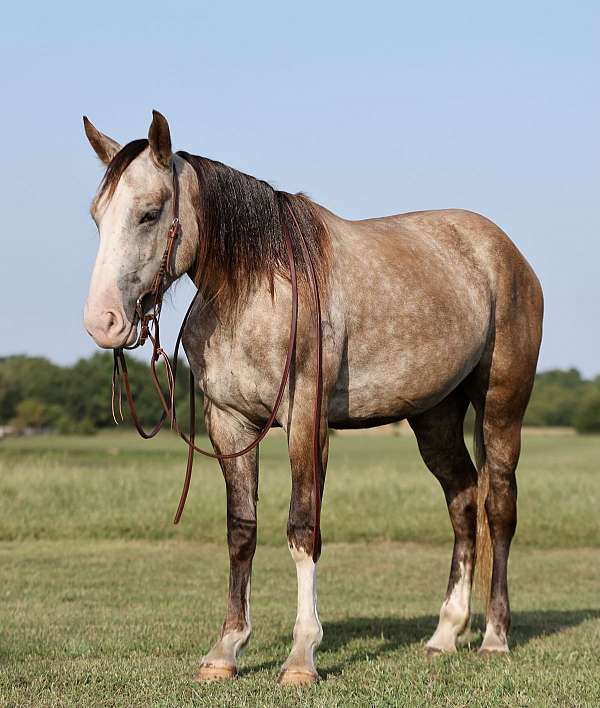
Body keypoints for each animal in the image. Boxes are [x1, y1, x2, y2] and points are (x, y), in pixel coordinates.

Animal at [83, 112, 544, 684]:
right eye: (97, 217)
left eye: (149, 213)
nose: (103, 322)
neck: (259, 286)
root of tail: (505, 252)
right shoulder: (229, 423)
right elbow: (241, 531)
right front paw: (226, 649)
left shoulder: (305, 419)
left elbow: (302, 528)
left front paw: (302, 655)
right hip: (434, 418)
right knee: (462, 502)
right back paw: (444, 635)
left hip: (502, 408)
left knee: (498, 508)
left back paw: (495, 638)